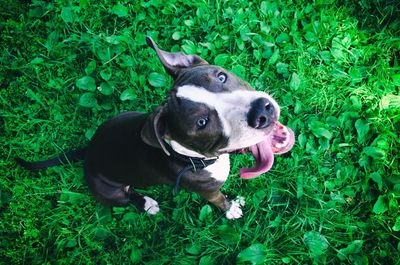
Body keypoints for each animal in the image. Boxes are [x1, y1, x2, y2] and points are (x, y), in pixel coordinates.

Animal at [16, 36, 294, 219]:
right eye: (201, 123)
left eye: (221, 76)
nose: (262, 112)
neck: (196, 158)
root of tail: (88, 153)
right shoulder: (208, 192)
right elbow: (219, 199)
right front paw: (230, 209)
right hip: (109, 191)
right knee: (126, 195)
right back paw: (146, 203)